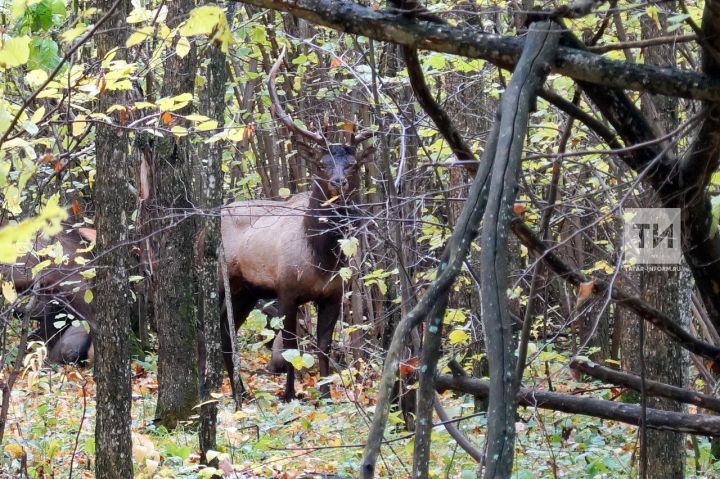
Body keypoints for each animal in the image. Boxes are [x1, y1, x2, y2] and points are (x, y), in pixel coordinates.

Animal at [219, 48, 372, 402]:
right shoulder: (286, 289)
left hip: (248, 289)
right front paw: (289, 395)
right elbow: (290, 347)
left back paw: (241, 391)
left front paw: (326, 395)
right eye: (322, 162)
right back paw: (237, 391)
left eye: (352, 163)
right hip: (224, 278)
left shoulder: (333, 294)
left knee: (227, 329)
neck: (323, 258)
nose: (338, 182)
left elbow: (324, 346)